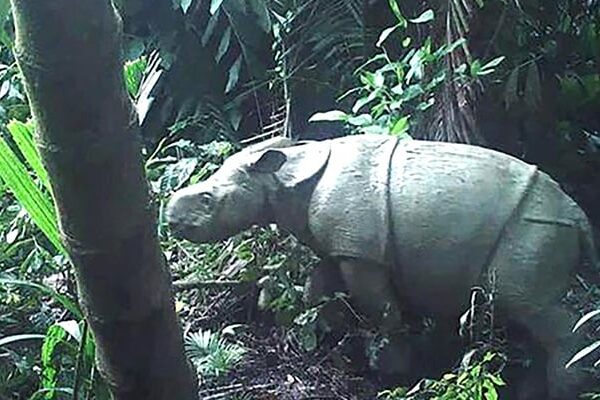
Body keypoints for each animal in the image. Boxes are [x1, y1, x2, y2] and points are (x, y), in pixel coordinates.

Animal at [166, 134, 596, 396]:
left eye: (207, 199)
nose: (169, 219)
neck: (282, 177)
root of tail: (578, 214)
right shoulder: (340, 246)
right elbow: (318, 287)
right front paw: (324, 338)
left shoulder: (362, 253)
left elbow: (382, 308)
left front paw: (388, 368)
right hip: (538, 226)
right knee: (527, 311)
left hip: (533, 225)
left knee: (532, 307)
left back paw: (566, 388)